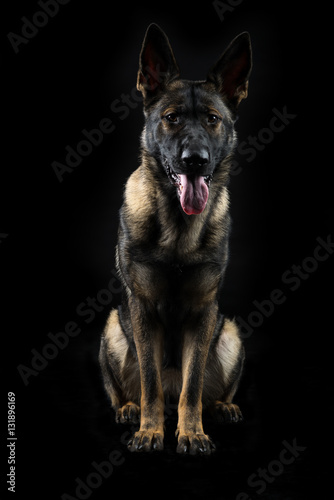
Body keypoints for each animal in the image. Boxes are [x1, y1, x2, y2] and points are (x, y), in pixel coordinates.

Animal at [100, 22, 253, 454]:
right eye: (171, 118)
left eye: (213, 119)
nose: (195, 161)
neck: (177, 230)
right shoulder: (142, 310)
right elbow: (150, 382)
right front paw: (151, 432)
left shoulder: (203, 314)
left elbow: (193, 384)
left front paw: (192, 432)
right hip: (112, 329)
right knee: (130, 390)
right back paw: (129, 410)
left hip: (230, 332)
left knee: (203, 390)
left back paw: (221, 408)